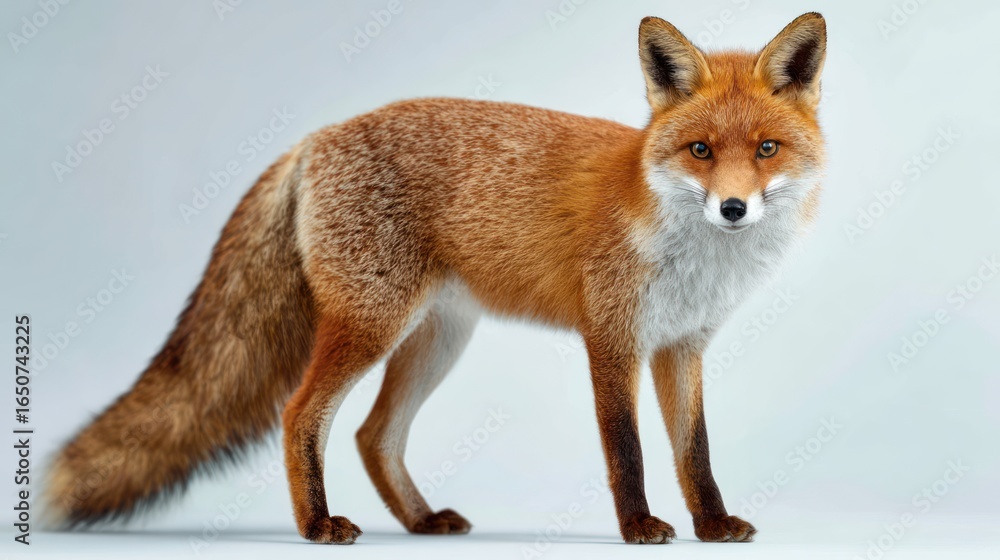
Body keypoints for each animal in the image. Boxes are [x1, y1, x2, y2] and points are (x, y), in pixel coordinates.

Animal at [44, 13, 827, 545]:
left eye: (766, 149)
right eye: (700, 150)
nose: (733, 208)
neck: (690, 253)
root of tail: (311, 141)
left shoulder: (682, 346)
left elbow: (695, 452)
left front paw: (713, 525)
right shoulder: (611, 338)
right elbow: (627, 450)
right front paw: (638, 527)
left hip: (436, 341)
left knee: (372, 435)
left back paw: (421, 521)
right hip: (372, 325)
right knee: (302, 415)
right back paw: (317, 525)